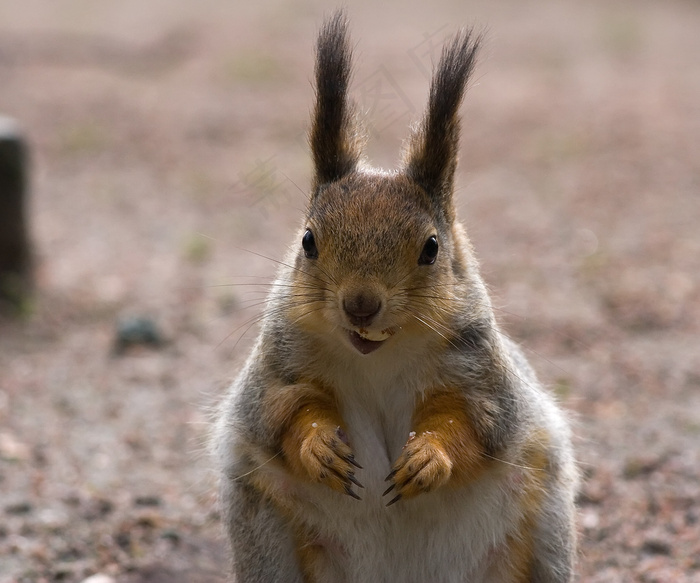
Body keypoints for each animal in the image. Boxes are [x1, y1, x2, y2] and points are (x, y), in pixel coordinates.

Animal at [213, 10, 576, 583]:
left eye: (431, 248)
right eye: (308, 240)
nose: (360, 304)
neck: (378, 357)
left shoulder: (482, 379)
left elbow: (472, 426)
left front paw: (429, 457)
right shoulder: (278, 370)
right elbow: (285, 415)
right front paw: (318, 446)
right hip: (264, 533)